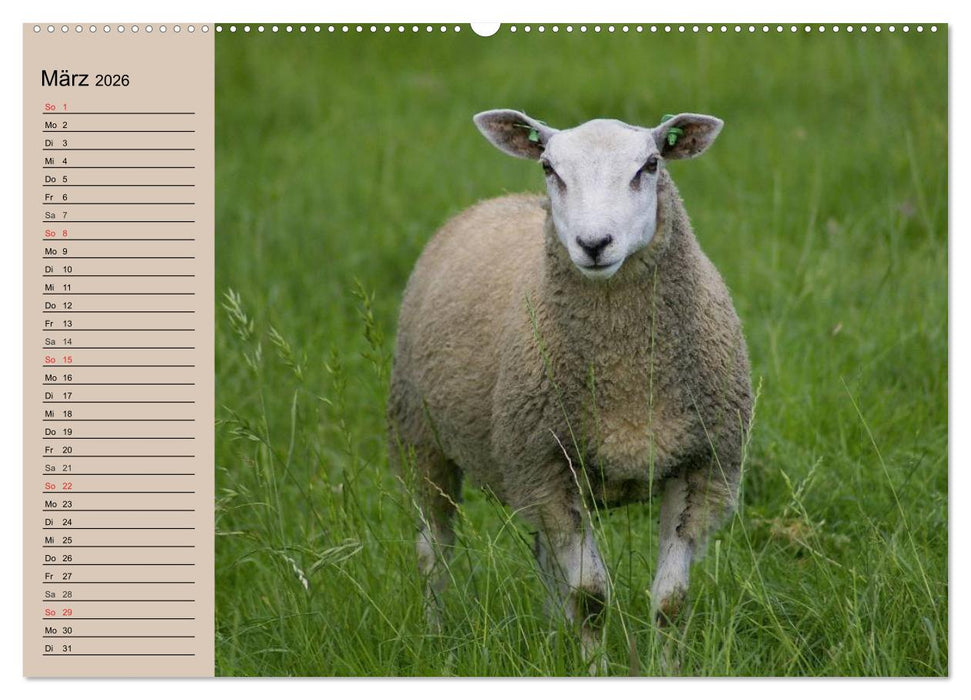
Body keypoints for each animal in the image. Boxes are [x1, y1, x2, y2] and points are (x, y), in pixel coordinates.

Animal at [387, 109, 752, 665]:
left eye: (650, 165)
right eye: (549, 167)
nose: (594, 244)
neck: (625, 368)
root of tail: (494, 201)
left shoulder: (703, 466)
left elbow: (670, 601)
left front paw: (664, 669)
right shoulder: (548, 469)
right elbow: (591, 597)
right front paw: (594, 668)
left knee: (542, 555)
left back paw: (549, 633)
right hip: (421, 439)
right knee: (434, 552)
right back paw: (437, 641)